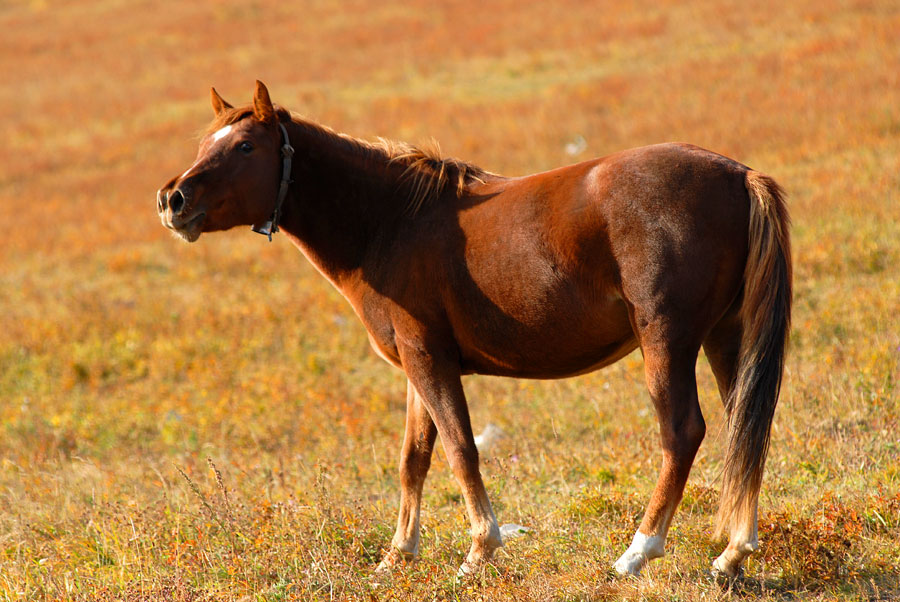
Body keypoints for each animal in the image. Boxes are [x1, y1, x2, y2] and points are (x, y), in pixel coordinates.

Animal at [158, 81, 792, 576]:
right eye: (204, 144)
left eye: (245, 145)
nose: (172, 199)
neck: (390, 221)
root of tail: (740, 175)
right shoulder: (417, 367)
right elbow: (414, 458)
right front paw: (397, 556)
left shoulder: (429, 360)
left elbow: (460, 450)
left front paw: (479, 551)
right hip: (723, 337)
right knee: (744, 425)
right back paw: (734, 553)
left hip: (667, 343)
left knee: (683, 433)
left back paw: (639, 551)